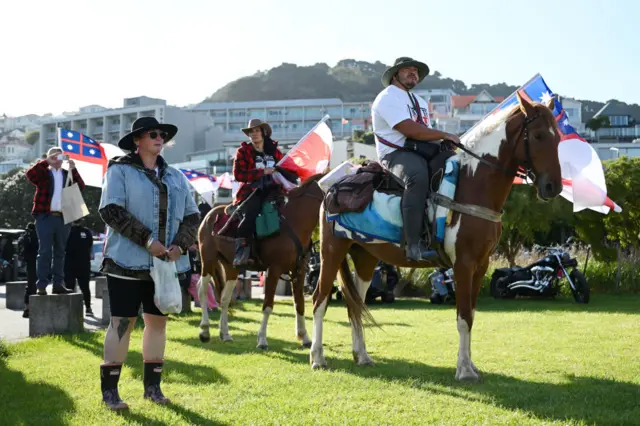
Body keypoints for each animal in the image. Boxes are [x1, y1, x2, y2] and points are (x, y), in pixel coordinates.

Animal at [196, 175, 324, 352]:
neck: (295, 220)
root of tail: (210, 214)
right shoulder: (273, 270)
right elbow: (268, 306)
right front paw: (262, 340)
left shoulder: (299, 270)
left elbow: (299, 303)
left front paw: (304, 337)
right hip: (207, 260)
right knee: (202, 289)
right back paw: (205, 331)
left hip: (231, 268)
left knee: (225, 298)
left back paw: (225, 333)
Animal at [312, 94, 564, 382]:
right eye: (538, 136)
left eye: (557, 137)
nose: (553, 187)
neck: (471, 184)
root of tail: (331, 188)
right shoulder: (463, 264)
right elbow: (463, 317)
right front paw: (464, 371)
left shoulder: (481, 265)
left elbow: (471, 315)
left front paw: (470, 365)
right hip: (331, 251)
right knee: (319, 300)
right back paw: (317, 358)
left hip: (364, 257)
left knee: (356, 304)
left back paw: (362, 356)